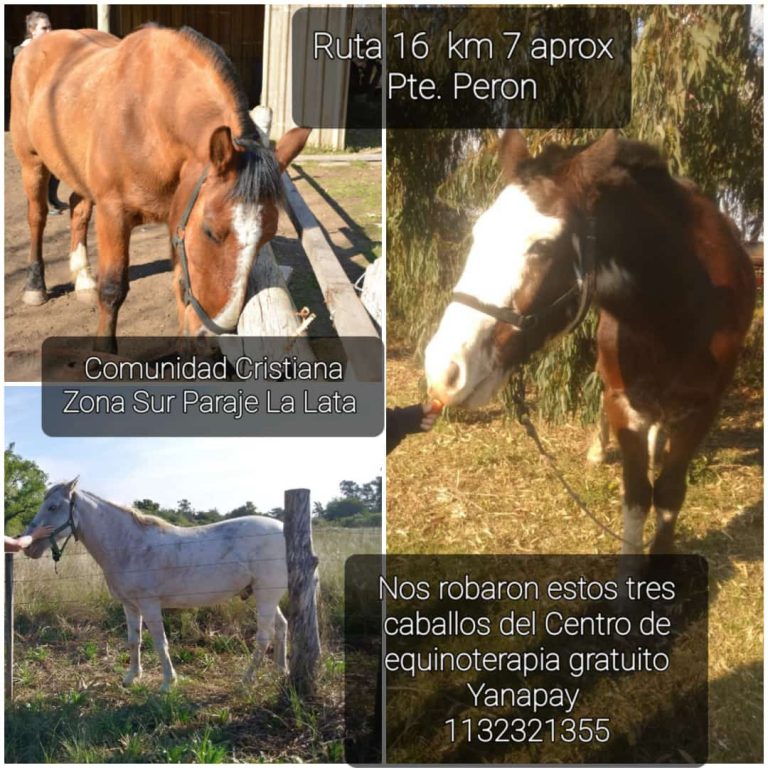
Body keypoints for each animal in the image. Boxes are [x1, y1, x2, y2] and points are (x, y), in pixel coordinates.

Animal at [11, 26, 309, 352]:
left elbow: (179, 281)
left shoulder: (177, 216)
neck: (147, 118)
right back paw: (35, 286)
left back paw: (84, 279)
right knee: (37, 217)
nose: (211, 337)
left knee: (78, 209)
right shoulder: (113, 213)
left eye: (267, 236)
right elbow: (113, 287)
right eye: (210, 231)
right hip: (32, 162)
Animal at [23, 478, 288, 691]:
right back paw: (281, 671)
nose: (29, 546)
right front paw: (131, 677)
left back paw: (246, 681)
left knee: (264, 637)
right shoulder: (130, 606)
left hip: (266, 595)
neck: (129, 546)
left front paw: (167, 683)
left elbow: (160, 643)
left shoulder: (150, 605)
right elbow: (134, 641)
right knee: (282, 627)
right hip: (266, 596)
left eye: (53, 506)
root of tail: (283, 529)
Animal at [425, 130, 756, 555]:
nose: (443, 369)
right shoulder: (622, 400)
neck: (677, 308)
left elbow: (668, 495)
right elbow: (636, 496)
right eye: (477, 233)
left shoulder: (702, 409)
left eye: (542, 246)